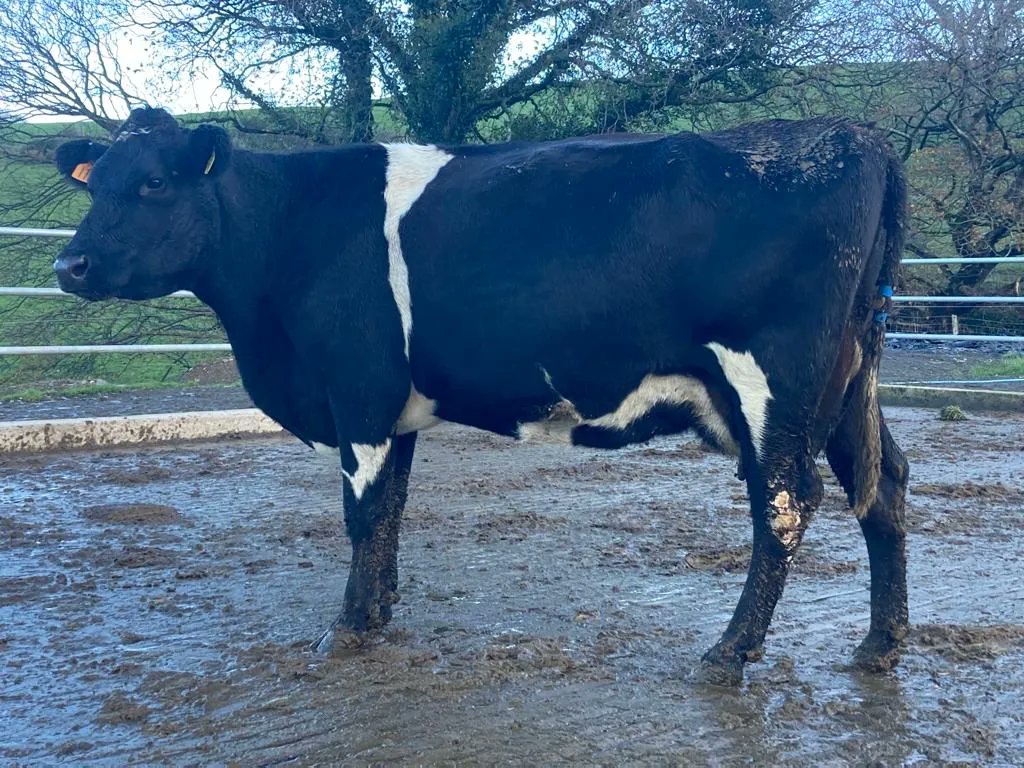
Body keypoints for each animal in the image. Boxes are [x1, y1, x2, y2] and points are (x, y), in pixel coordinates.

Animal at [53, 107, 909, 685]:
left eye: (154, 182)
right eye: (95, 186)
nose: (70, 264)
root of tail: (856, 137)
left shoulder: (357, 389)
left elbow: (361, 512)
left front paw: (346, 630)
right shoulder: (393, 409)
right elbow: (391, 512)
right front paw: (378, 613)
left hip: (774, 384)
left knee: (787, 504)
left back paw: (729, 653)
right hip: (843, 387)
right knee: (885, 486)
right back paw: (880, 645)